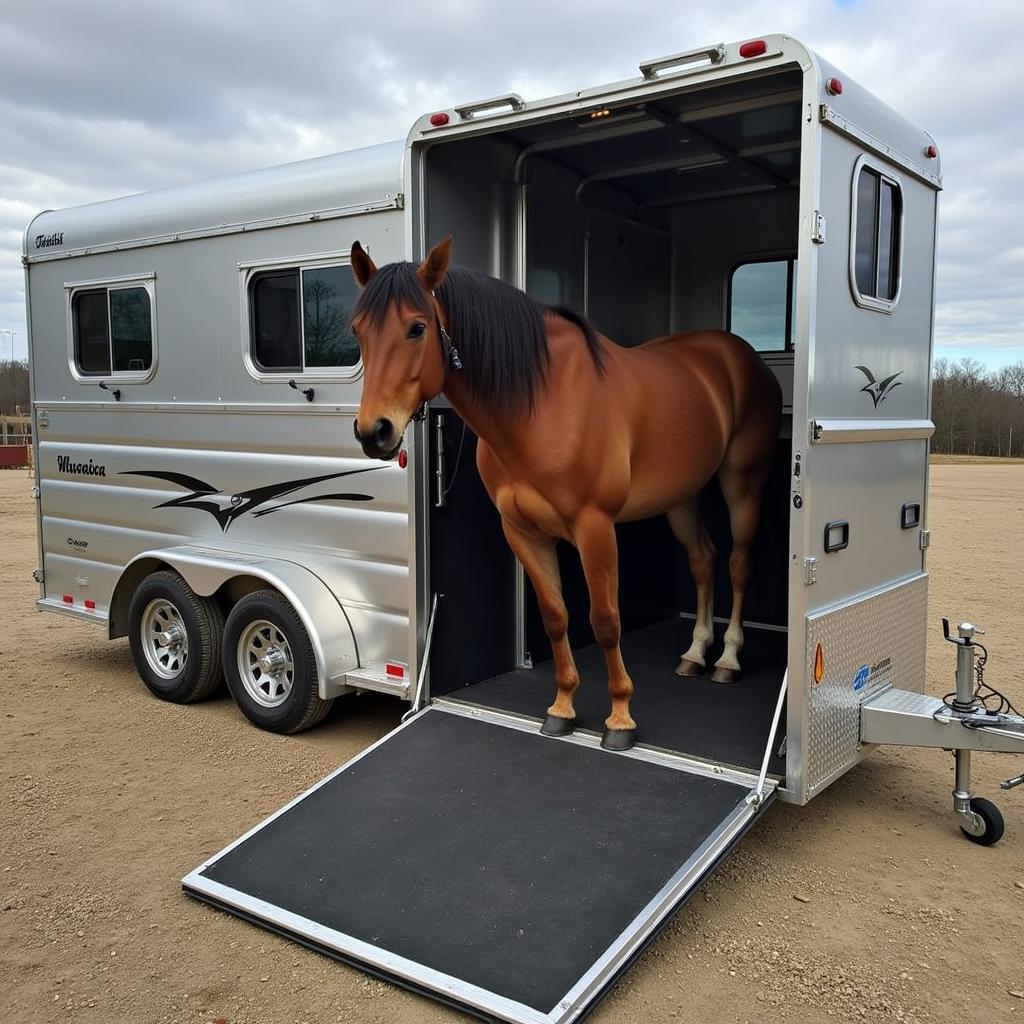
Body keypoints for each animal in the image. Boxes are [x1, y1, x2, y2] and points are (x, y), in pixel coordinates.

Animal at [348, 239, 778, 753]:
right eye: (358, 330)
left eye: (417, 327)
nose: (373, 431)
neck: (542, 404)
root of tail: (739, 355)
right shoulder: (523, 532)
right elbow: (555, 616)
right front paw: (562, 709)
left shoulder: (596, 528)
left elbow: (606, 620)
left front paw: (620, 719)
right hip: (683, 496)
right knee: (704, 561)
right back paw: (695, 653)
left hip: (742, 481)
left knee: (738, 563)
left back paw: (728, 660)